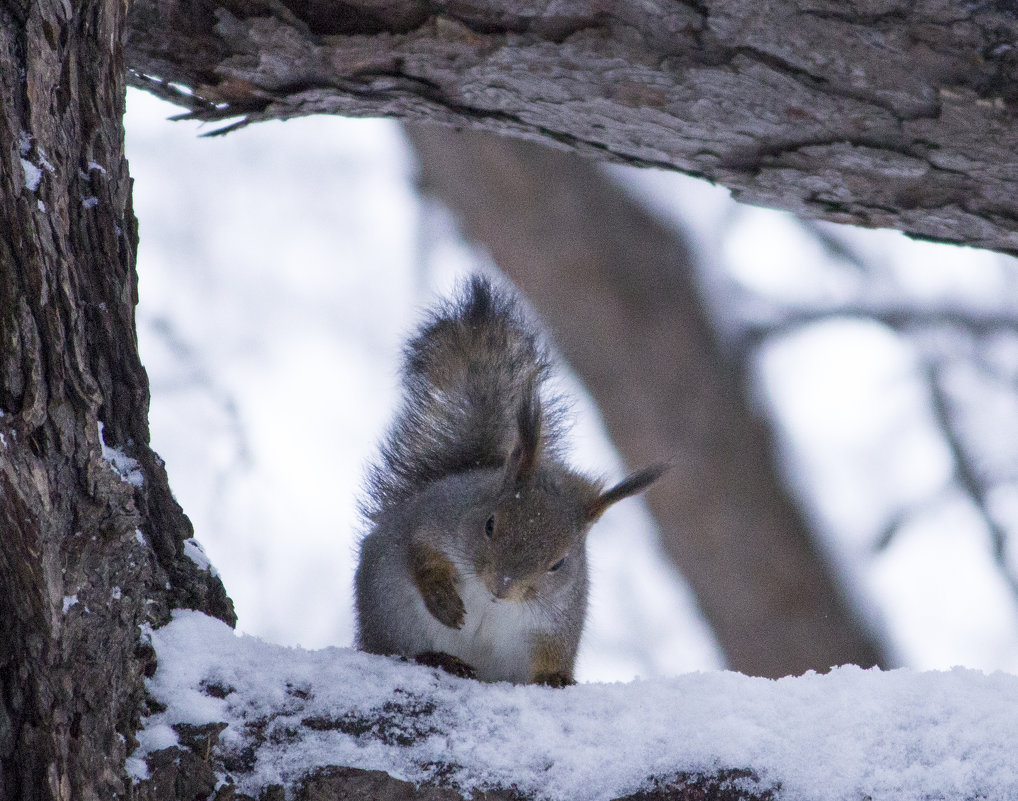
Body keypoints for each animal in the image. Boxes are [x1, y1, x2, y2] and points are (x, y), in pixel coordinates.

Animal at [354, 276, 663, 688]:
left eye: (560, 563)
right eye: (489, 524)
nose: (501, 587)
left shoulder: (556, 619)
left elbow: (551, 655)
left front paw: (556, 679)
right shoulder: (432, 518)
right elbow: (421, 553)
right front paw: (441, 597)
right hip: (390, 621)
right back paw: (437, 658)